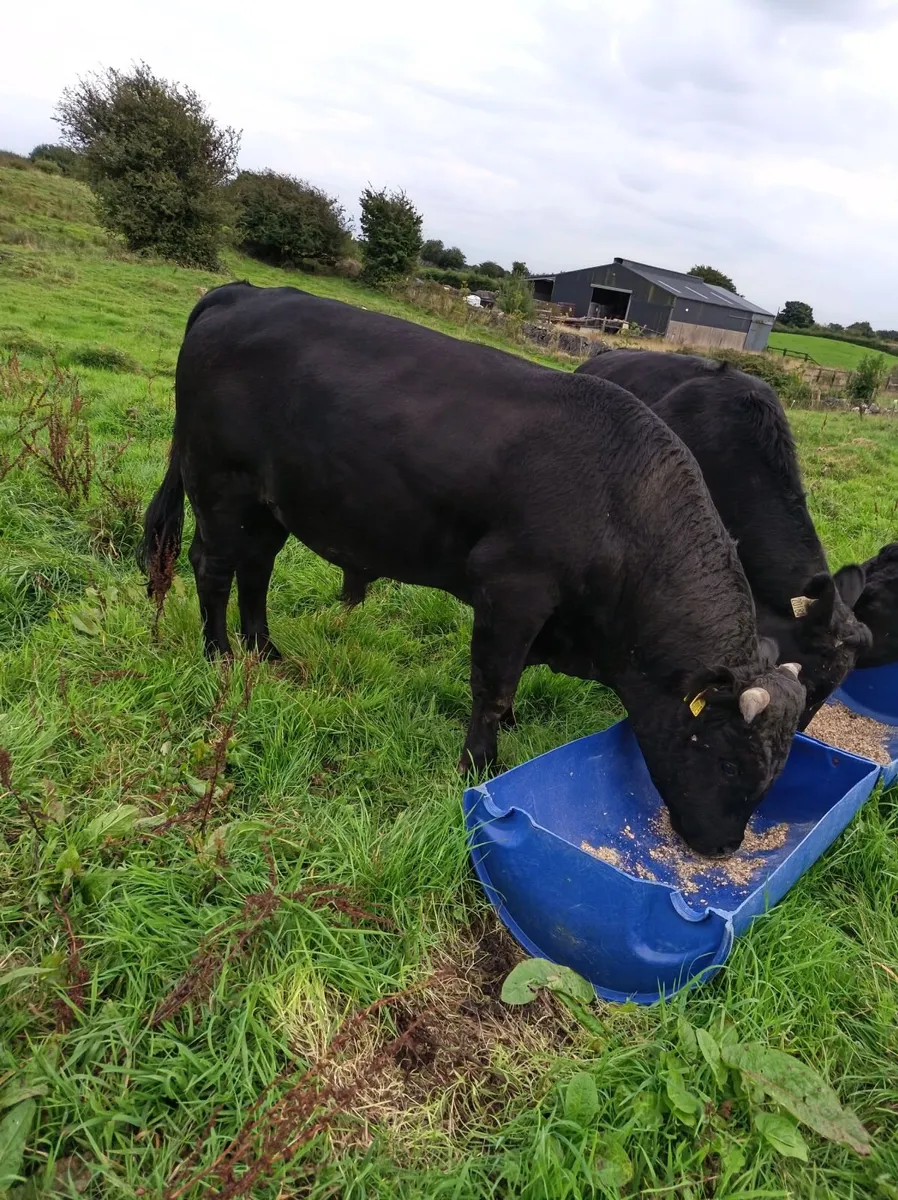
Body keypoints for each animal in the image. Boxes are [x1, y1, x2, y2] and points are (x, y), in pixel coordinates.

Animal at [139, 283, 805, 857]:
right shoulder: (511, 588)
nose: (722, 850)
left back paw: (265, 650)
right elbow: (493, 681)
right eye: (726, 760)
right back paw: (220, 654)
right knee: (213, 568)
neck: (623, 506)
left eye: (774, 774)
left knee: (256, 569)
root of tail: (245, 292)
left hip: (270, 505)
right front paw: (480, 761)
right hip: (220, 486)